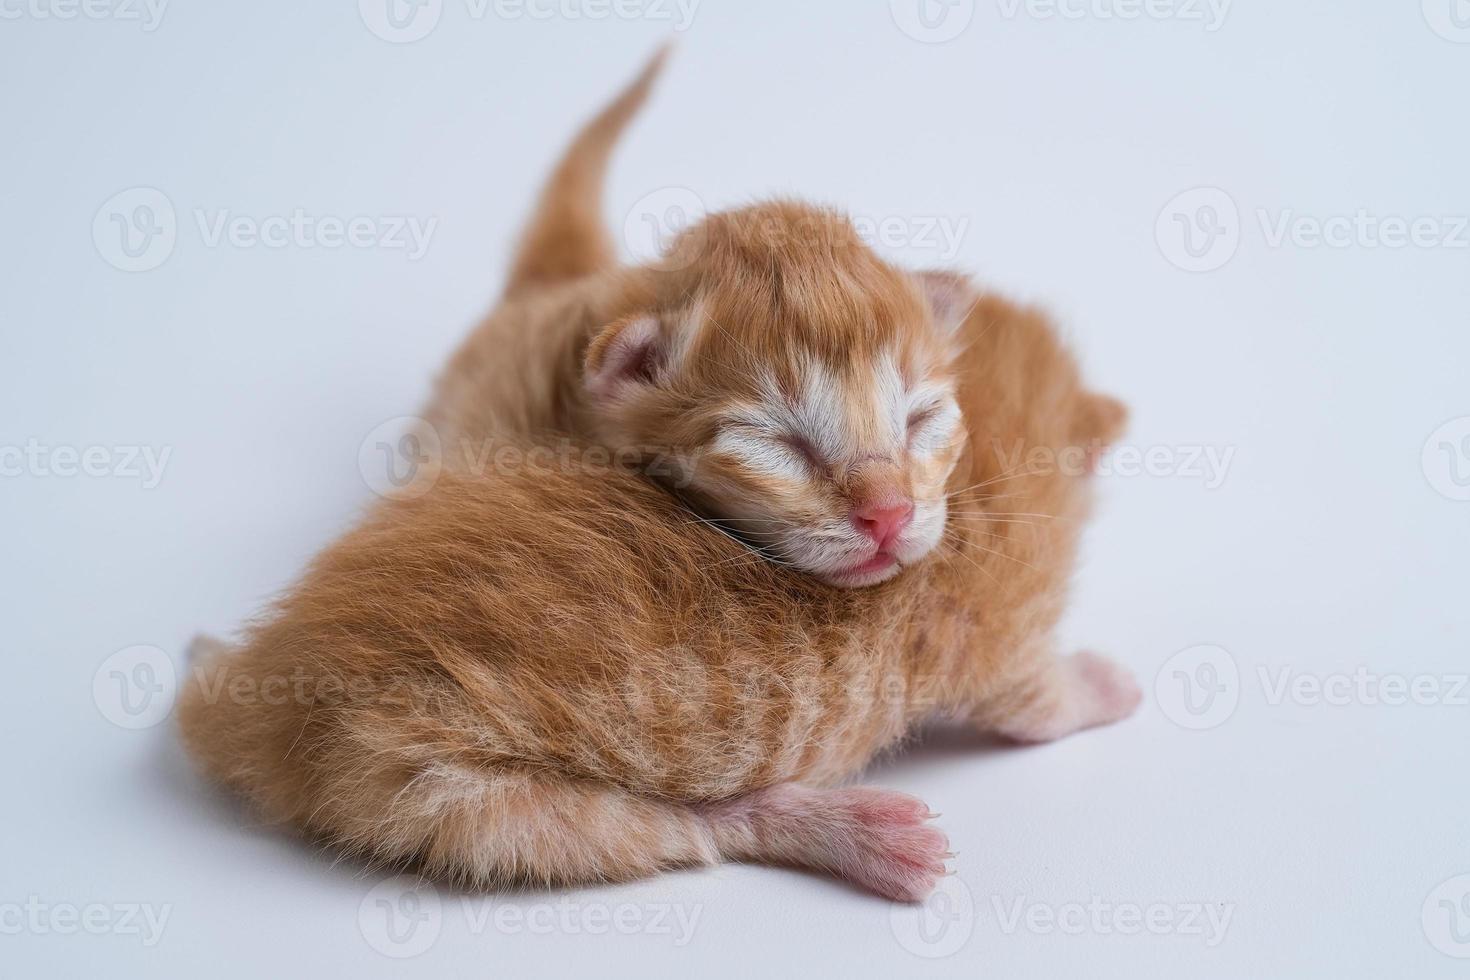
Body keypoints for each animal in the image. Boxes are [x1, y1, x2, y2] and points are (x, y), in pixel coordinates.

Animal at [174, 49, 1134, 899]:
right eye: (781, 445)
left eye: (924, 420)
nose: (889, 516)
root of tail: (256, 707)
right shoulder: (1001, 636)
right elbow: (1036, 704)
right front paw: (1102, 684)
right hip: (448, 794)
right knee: (678, 829)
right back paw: (854, 834)